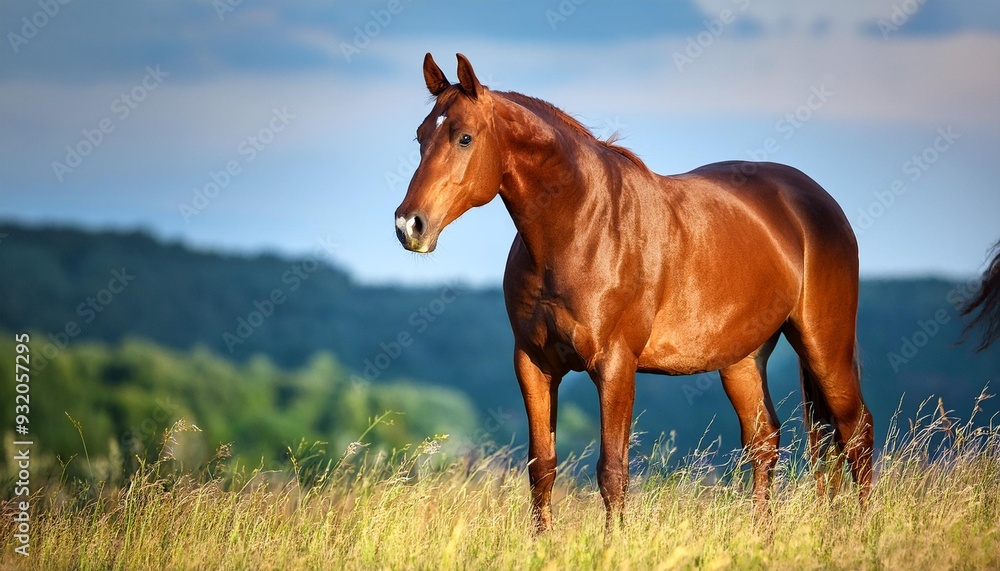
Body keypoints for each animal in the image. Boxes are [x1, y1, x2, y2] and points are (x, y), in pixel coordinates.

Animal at [394, 53, 873, 533]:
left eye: (465, 137)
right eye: (420, 136)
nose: (408, 225)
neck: (581, 226)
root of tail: (814, 201)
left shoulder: (615, 365)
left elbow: (612, 471)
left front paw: (612, 541)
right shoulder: (533, 364)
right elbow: (542, 468)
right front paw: (541, 542)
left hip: (824, 345)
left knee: (856, 432)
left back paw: (861, 528)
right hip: (742, 359)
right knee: (765, 441)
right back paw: (764, 535)